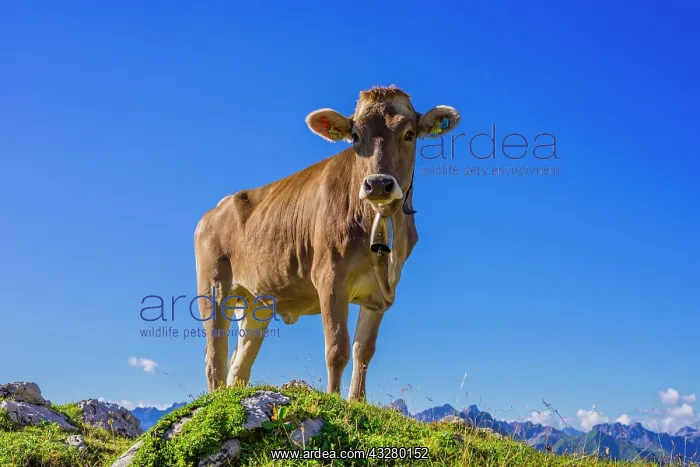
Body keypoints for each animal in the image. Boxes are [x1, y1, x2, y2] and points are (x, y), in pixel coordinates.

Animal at [194, 85, 460, 401]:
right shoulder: (330, 277)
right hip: (214, 290)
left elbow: (363, 351)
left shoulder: (382, 293)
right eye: (355, 136)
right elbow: (337, 349)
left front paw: (357, 401)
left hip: (257, 301)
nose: (378, 184)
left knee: (239, 364)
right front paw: (334, 399)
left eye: (409, 134)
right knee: (215, 358)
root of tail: (213, 211)